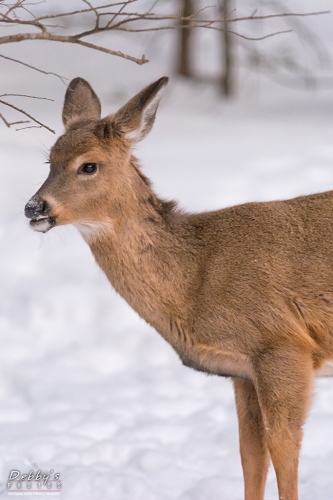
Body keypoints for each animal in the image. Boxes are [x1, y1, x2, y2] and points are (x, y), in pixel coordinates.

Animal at [24, 75, 332, 500]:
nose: (33, 208)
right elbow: (250, 454)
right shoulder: (242, 371)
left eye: (88, 165)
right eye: (49, 160)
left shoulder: (282, 345)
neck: (194, 280)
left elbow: (283, 449)